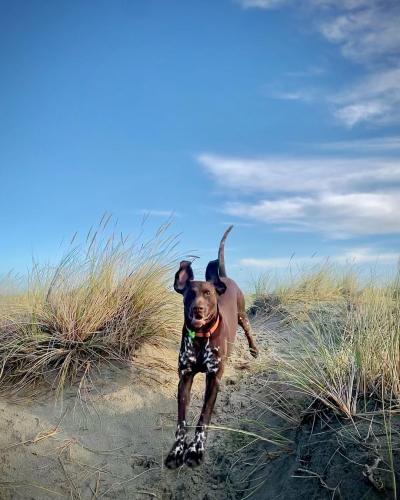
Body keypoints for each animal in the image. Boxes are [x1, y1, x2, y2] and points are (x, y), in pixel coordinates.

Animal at [164, 227, 258, 468]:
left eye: (208, 294)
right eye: (189, 293)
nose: (197, 309)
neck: (200, 338)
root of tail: (222, 278)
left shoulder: (213, 379)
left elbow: (203, 417)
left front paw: (196, 450)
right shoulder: (184, 378)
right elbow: (181, 421)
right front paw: (177, 450)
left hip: (243, 315)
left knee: (249, 331)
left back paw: (254, 350)